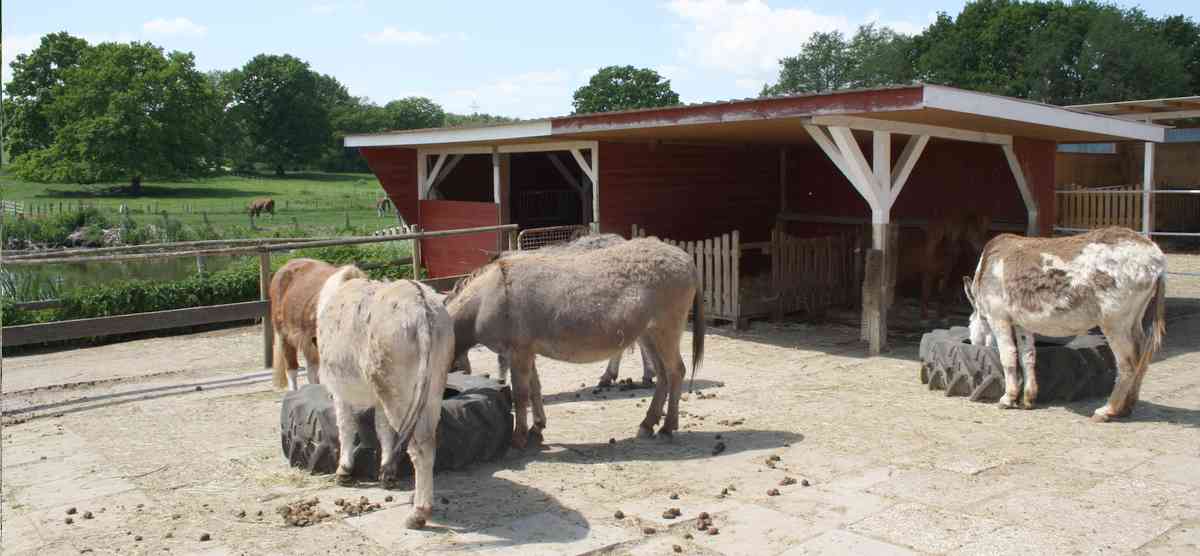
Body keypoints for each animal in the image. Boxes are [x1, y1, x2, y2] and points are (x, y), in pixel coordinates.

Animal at [316, 267, 451, 528]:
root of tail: (420, 306)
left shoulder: (339, 392)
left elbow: (346, 427)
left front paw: (344, 470)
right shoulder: (380, 398)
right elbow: (383, 430)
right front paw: (386, 473)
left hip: (400, 392)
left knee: (419, 449)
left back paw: (418, 514)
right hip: (429, 388)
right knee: (430, 441)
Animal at [446, 237, 700, 451]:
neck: (486, 299)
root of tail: (686, 259)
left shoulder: (518, 352)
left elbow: (520, 394)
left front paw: (517, 439)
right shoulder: (527, 352)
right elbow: (535, 389)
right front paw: (536, 429)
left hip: (666, 330)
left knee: (676, 371)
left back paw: (667, 428)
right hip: (649, 333)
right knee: (663, 374)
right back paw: (648, 424)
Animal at [964, 228, 1161, 420]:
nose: (972, 345)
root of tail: (1155, 255)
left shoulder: (999, 317)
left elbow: (1008, 356)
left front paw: (1008, 398)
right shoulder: (1022, 323)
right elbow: (1027, 356)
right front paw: (1028, 399)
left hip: (1115, 322)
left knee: (1128, 363)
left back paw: (1107, 410)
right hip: (1134, 319)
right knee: (1142, 356)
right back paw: (1126, 408)